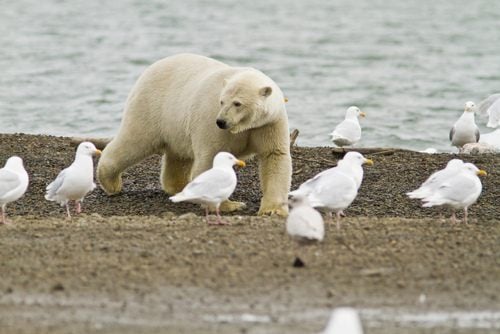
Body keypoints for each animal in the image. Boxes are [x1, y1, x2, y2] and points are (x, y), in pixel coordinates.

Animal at [97, 53, 292, 215]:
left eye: (237, 103)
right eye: (221, 101)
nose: (221, 121)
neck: (244, 126)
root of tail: (150, 68)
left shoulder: (268, 123)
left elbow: (274, 156)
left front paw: (272, 210)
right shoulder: (211, 122)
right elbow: (210, 157)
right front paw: (231, 205)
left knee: (178, 156)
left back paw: (181, 187)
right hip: (151, 107)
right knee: (135, 141)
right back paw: (111, 182)